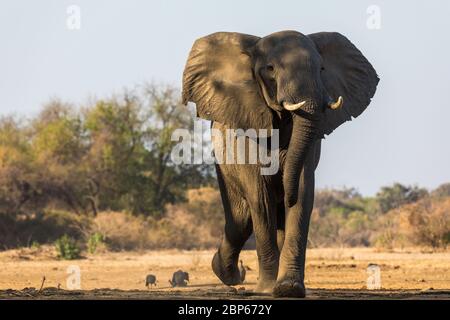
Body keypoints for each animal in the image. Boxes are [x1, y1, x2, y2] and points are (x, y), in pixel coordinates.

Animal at [181, 30, 378, 298]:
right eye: (271, 69)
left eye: (322, 68)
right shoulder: (249, 126)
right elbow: (260, 198)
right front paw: (267, 288)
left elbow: (303, 195)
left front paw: (289, 288)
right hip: (223, 163)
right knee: (241, 218)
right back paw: (229, 274)